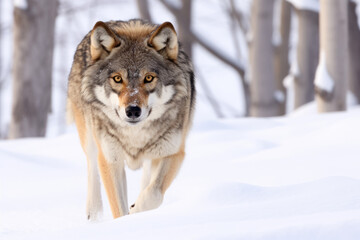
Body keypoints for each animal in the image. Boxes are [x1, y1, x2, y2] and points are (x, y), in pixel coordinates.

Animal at [67, 19, 197, 220]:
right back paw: (94, 214)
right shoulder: (110, 159)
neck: (135, 135)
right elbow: (119, 209)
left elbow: (153, 194)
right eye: (117, 78)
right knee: (92, 166)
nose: (133, 110)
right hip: (89, 137)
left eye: (149, 78)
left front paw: (135, 210)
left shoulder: (173, 153)